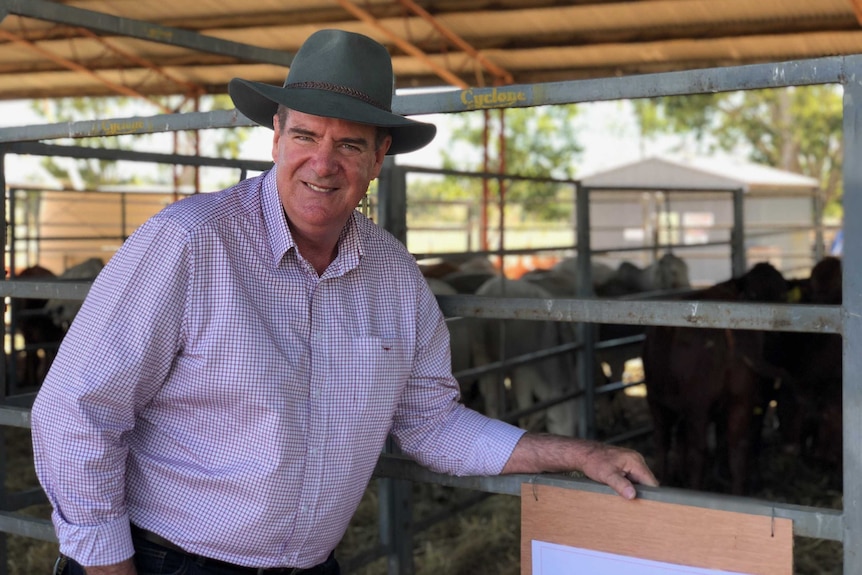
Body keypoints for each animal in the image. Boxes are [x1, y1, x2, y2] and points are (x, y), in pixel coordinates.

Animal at [644, 262, 792, 496]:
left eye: (783, 296)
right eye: (753, 295)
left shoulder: (664, 401)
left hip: (698, 405)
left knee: (698, 450)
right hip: (733, 401)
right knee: (733, 448)